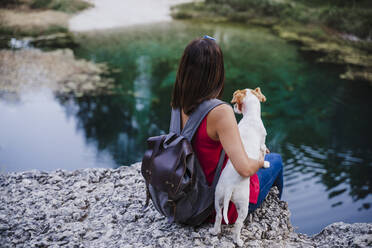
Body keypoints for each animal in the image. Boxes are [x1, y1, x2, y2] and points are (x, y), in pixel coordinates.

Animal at [212, 86, 270, 246]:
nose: (232, 107)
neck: (250, 117)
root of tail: (229, 188)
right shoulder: (262, 146)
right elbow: (262, 156)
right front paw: (265, 163)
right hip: (243, 205)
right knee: (237, 224)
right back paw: (237, 240)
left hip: (218, 197)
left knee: (218, 215)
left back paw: (214, 231)